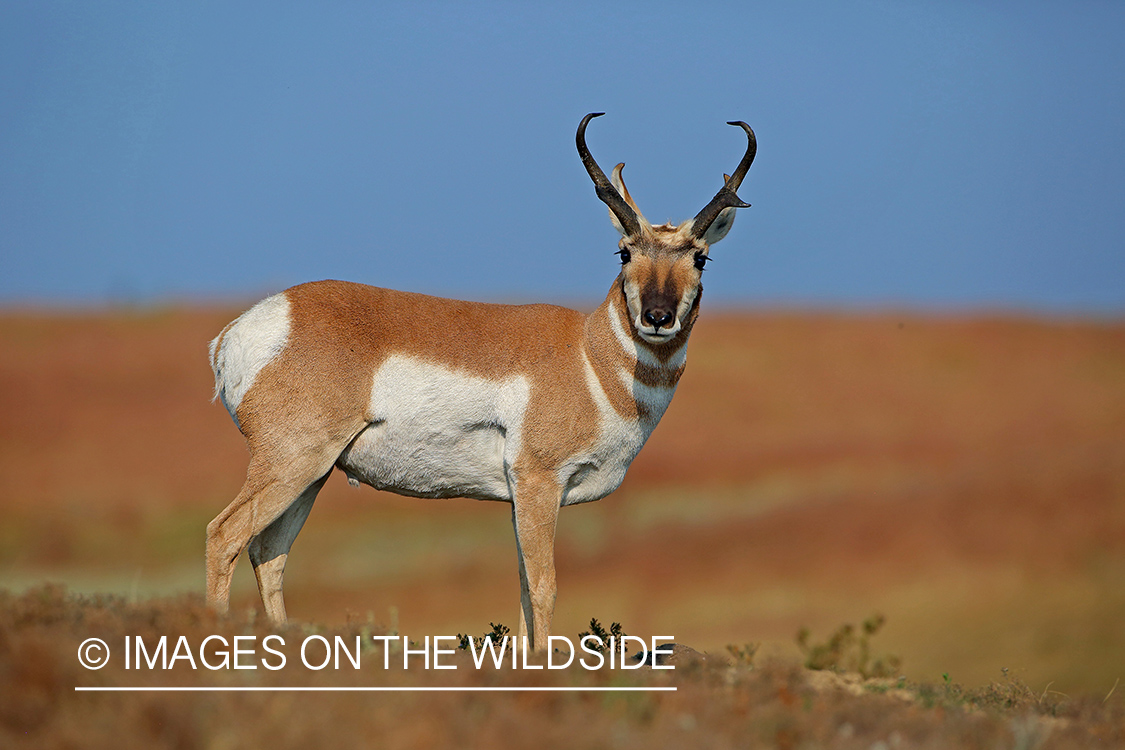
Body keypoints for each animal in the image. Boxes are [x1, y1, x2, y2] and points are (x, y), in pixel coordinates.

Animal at [208, 111, 760, 652]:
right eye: (624, 252)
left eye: (700, 257)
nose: (657, 317)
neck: (588, 355)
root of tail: (243, 329)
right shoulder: (538, 483)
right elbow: (543, 587)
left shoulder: (521, 501)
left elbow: (521, 591)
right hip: (292, 463)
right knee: (224, 535)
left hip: (313, 475)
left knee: (269, 554)